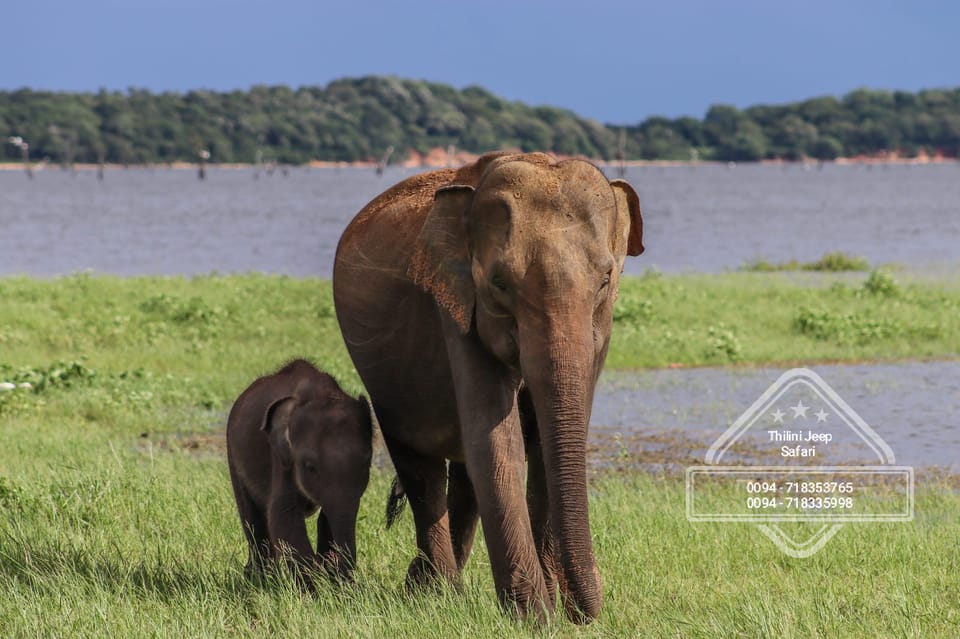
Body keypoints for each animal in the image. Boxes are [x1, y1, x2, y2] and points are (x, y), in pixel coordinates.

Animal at [227, 360, 374, 584]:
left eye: (366, 462)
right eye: (309, 466)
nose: (347, 581)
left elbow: (328, 518)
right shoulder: (281, 459)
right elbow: (283, 516)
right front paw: (313, 587)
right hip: (233, 457)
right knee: (252, 518)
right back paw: (260, 579)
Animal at [334, 150, 640, 620]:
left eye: (606, 279)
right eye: (499, 284)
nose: (584, 612)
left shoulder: (600, 334)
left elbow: (544, 446)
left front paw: (550, 608)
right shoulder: (456, 307)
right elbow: (499, 442)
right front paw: (536, 617)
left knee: (462, 478)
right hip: (386, 383)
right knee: (421, 470)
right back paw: (434, 594)